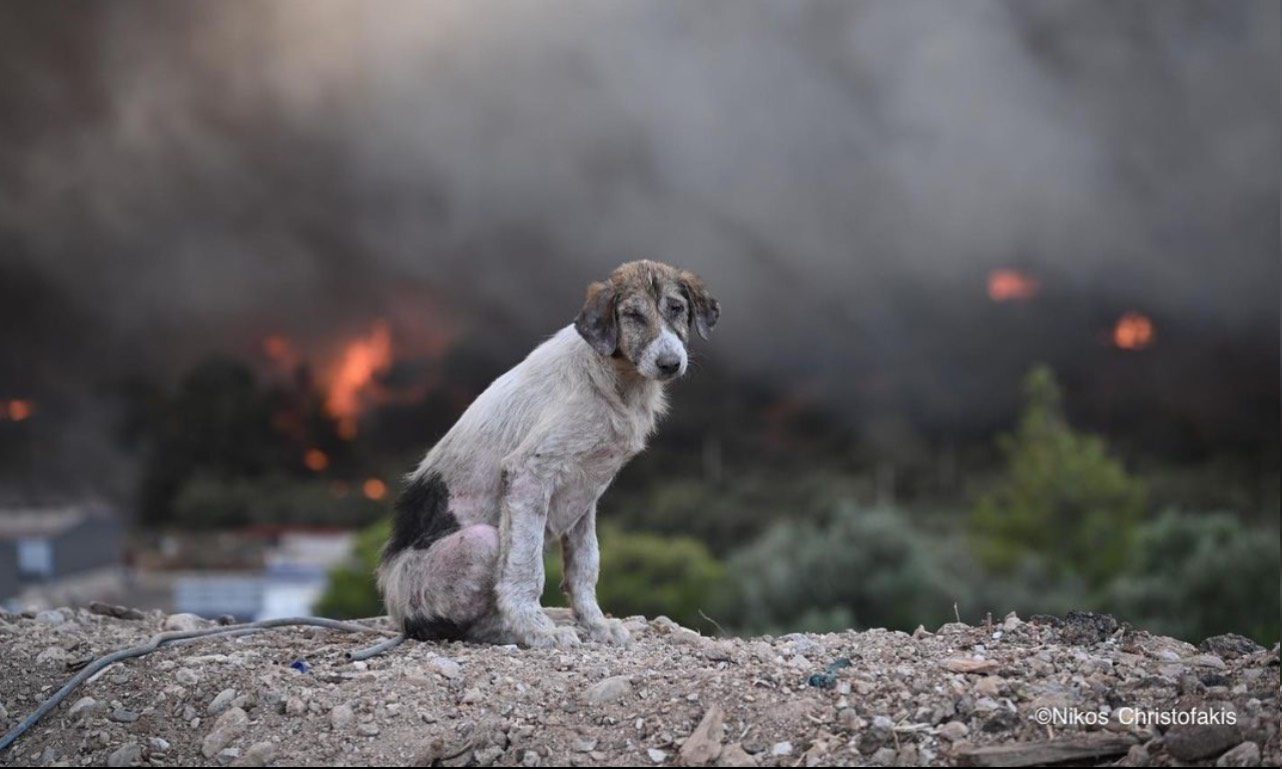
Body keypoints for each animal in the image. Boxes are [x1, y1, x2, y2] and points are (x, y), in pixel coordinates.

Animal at [379, 261, 723, 645]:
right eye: (633, 315)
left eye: (676, 308)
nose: (670, 363)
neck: (614, 377)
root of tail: (398, 612)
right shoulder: (528, 473)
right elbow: (525, 568)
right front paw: (536, 629)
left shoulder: (587, 493)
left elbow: (585, 565)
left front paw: (596, 625)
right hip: (481, 541)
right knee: (466, 624)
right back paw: (512, 630)